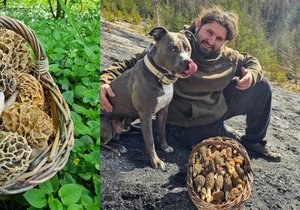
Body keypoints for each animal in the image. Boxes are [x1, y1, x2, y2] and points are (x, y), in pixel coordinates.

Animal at [101, 26, 198, 171]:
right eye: (172, 48)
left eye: (188, 48)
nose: (188, 62)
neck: (160, 75)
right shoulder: (145, 113)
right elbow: (150, 140)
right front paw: (156, 161)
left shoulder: (163, 111)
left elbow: (161, 131)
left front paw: (165, 147)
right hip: (106, 125)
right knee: (102, 142)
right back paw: (118, 147)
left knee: (125, 129)